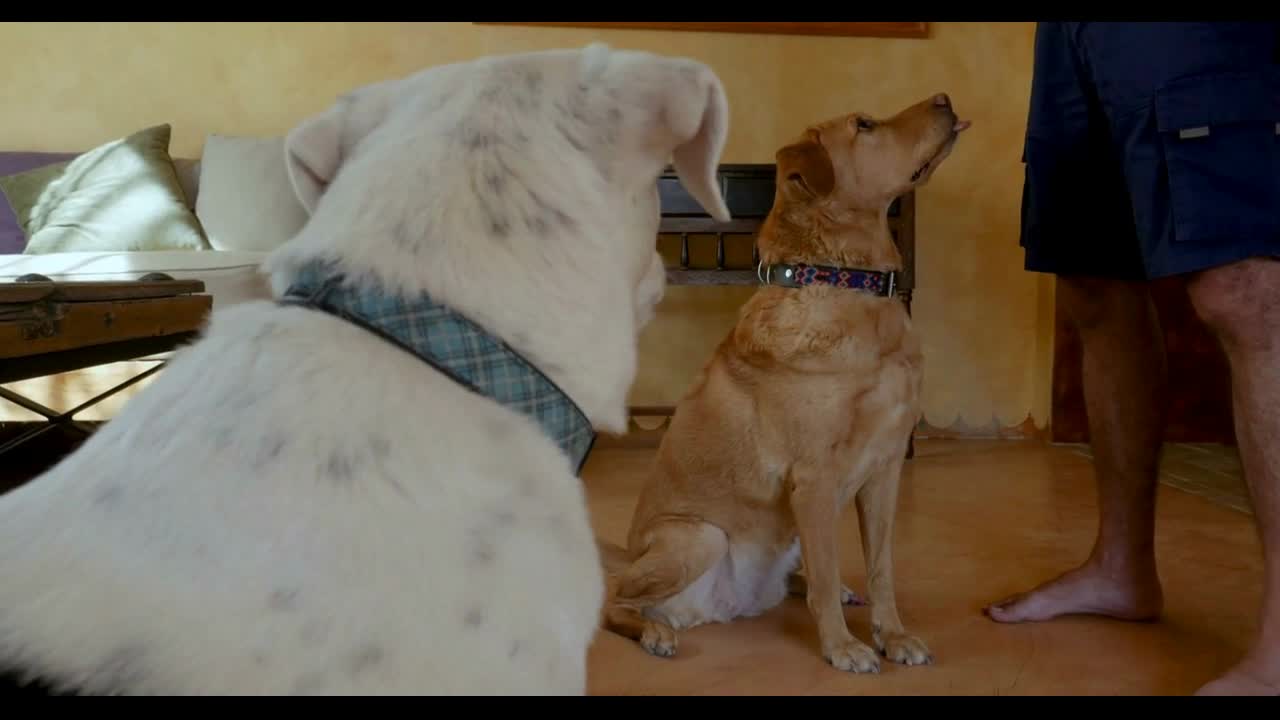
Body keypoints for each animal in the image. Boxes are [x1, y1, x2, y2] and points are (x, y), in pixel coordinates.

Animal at [599, 92, 967, 671]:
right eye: (865, 125)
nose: (944, 98)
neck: (845, 281)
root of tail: (723, 607)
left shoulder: (885, 471)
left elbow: (881, 570)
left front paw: (892, 634)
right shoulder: (814, 480)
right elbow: (827, 573)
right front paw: (843, 647)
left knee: (805, 577)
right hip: (698, 538)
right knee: (616, 600)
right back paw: (653, 632)